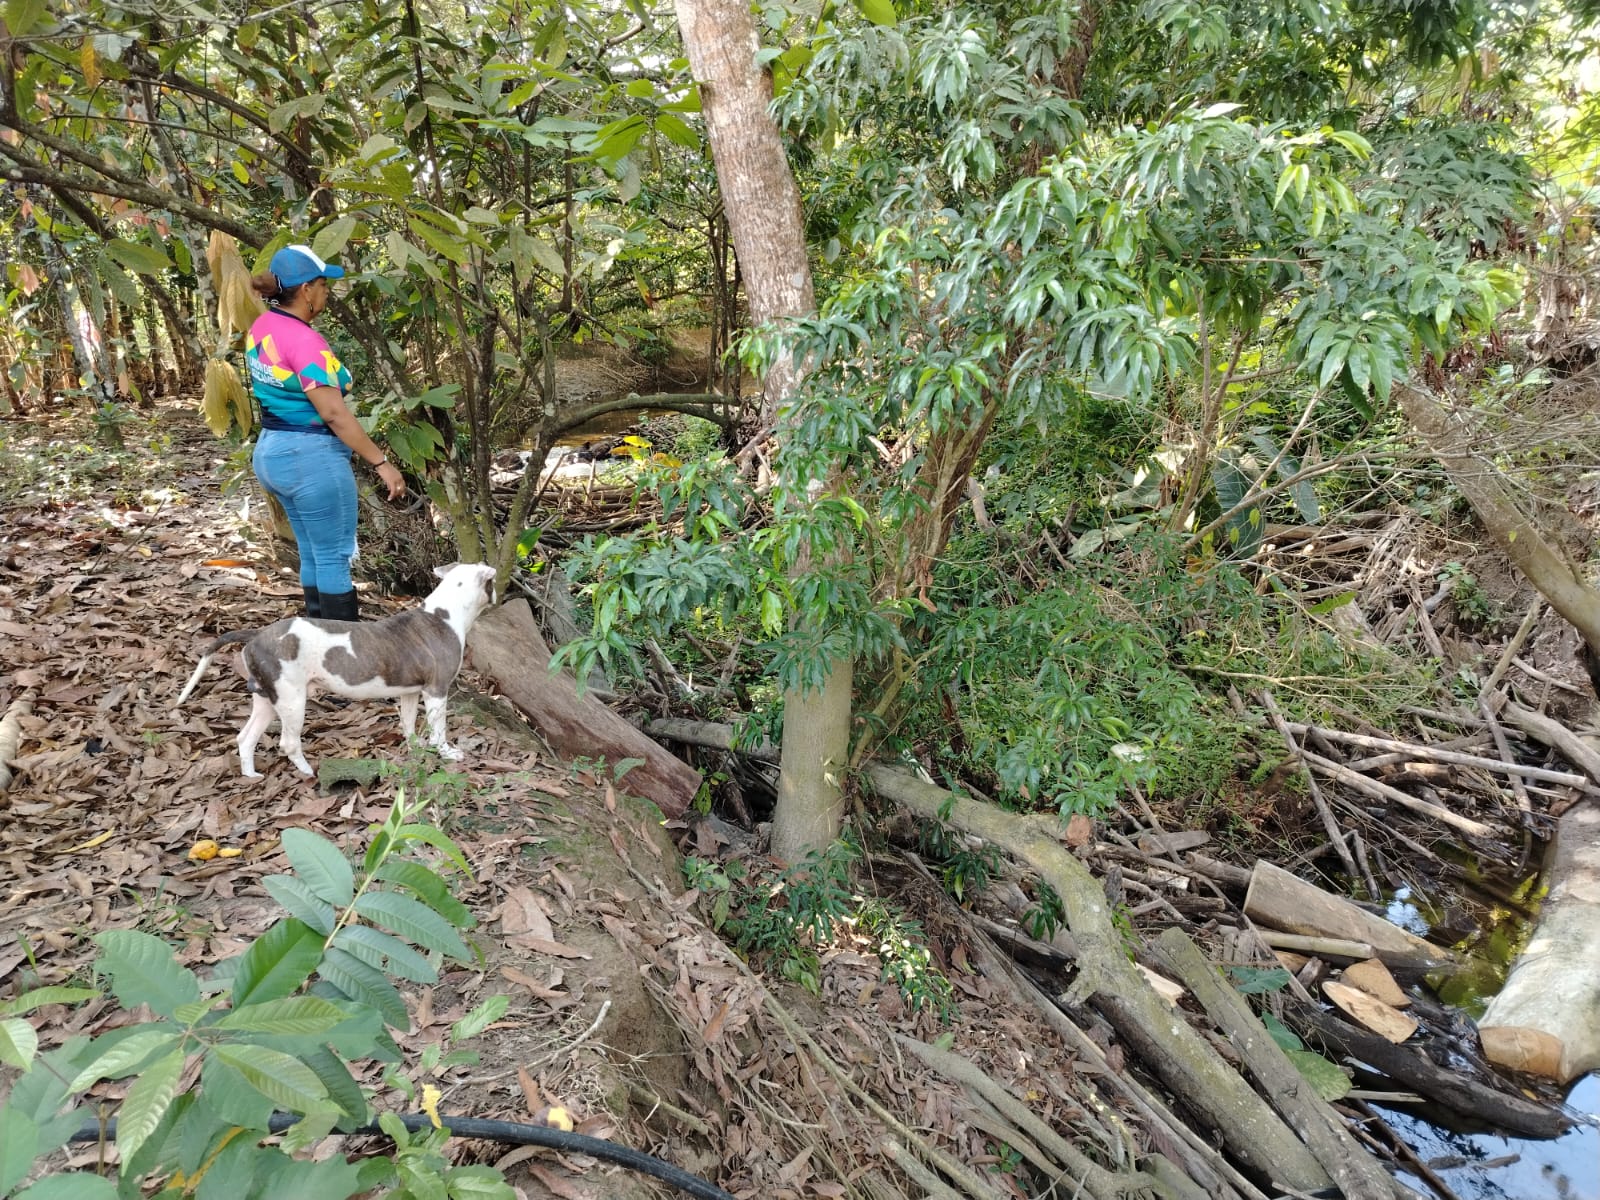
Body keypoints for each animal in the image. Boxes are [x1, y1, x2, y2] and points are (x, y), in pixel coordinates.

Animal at [175, 562, 497, 778]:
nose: (499, 593)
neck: (444, 614)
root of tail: (257, 634)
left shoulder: (410, 692)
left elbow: (407, 723)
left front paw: (415, 747)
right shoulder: (437, 691)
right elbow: (439, 729)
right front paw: (448, 753)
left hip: (266, 698)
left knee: (245, 737)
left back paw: (251, 775)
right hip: (292, 700)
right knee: (288, 743)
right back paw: (308, 772)